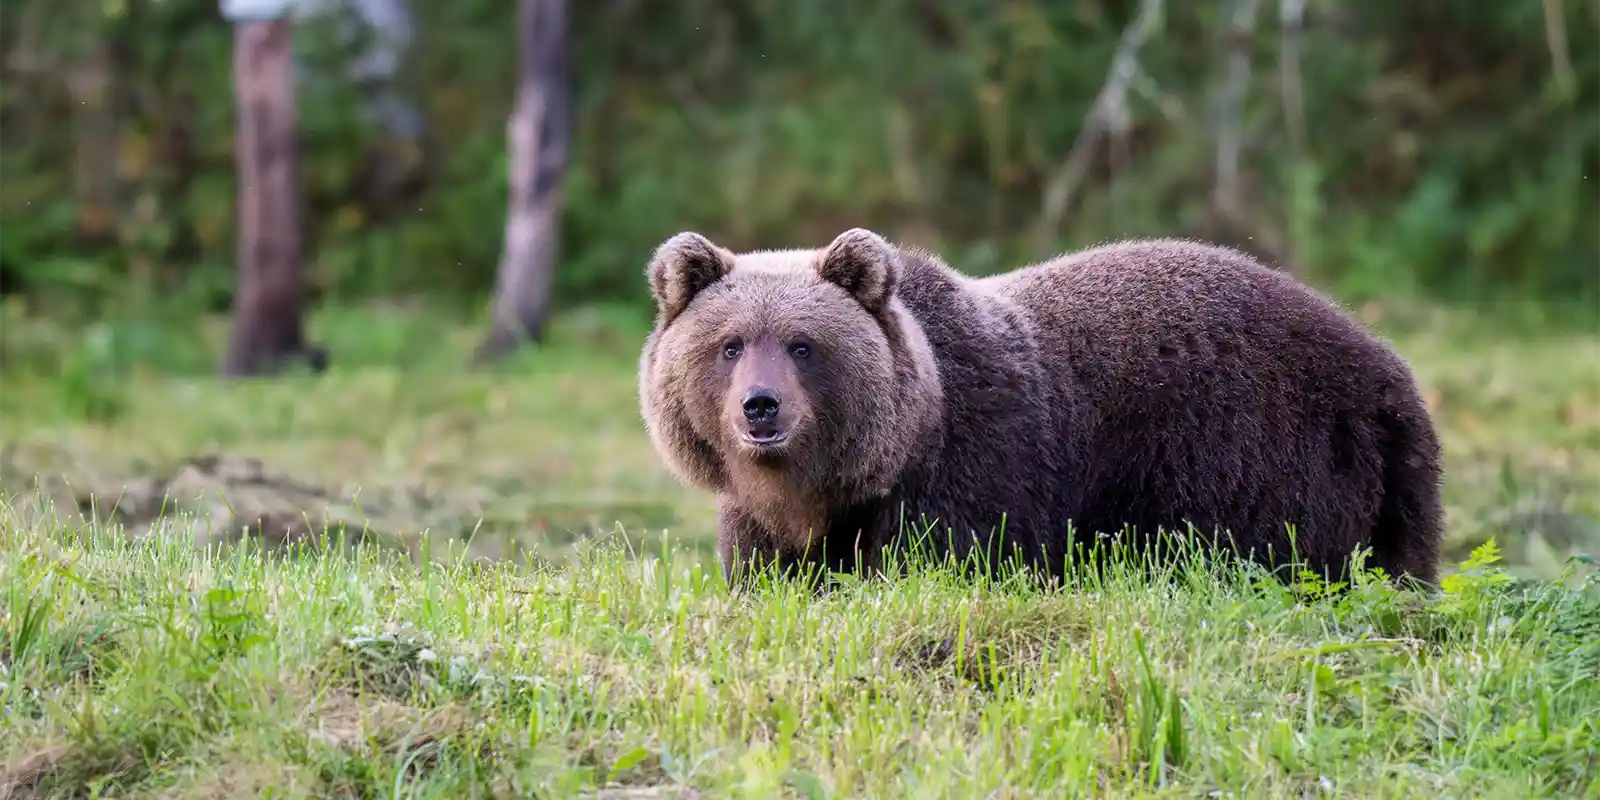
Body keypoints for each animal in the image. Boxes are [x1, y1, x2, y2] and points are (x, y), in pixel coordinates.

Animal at [637, 228, 1444, 590]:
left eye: (803, 345)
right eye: (731, 344)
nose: (761, 408)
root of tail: (1388, 372)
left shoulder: (978, 464)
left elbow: (941, 562)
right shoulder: (765, 515)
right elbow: (768, 571)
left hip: (1260, 449)